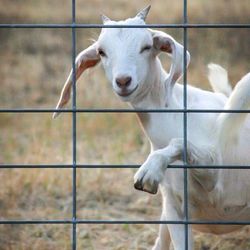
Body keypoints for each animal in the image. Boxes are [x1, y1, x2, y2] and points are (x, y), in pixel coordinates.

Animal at [53, 6, 250, 250]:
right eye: (101, 51)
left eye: (146, 46)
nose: (123, 81)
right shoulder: (175, 211)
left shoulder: (217, 172)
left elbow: (181, 144)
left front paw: (149, 172)